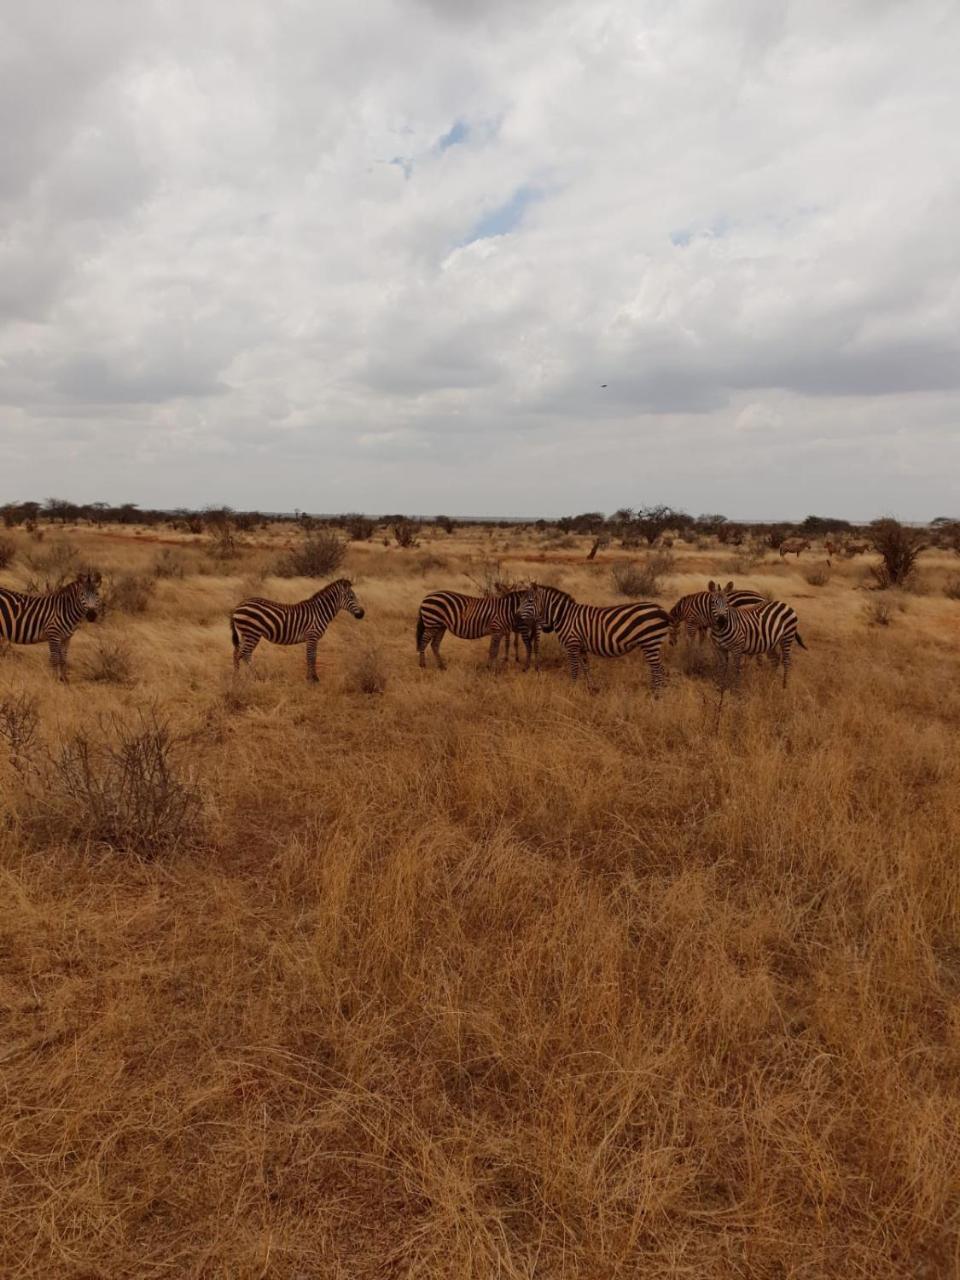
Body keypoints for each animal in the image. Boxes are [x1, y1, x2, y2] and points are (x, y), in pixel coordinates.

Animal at [231, 578, 366, 680]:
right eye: (351, 596)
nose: (362, 614)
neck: (320, 612)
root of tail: (238, 606)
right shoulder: (312, 635)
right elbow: (311, 657)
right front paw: (313, 679)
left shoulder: (312, 638)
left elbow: (311, 656)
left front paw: (310, 677)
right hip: (252, 632)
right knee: (244, 654)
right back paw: (252, 677)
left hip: (246, 634)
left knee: (237, 653)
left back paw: (240, 678)